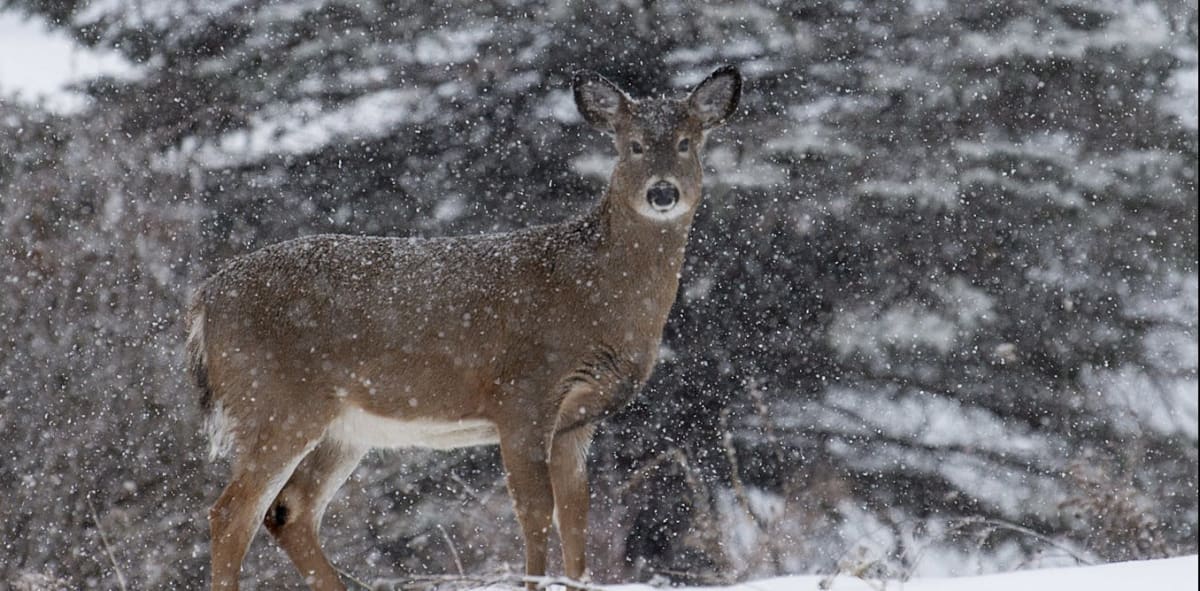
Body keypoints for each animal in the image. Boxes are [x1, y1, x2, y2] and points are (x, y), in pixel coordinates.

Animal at [186, 65, 742, 590]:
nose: (663, 192)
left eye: (687, 142)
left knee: (289, 511)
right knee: (231, 512)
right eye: (633, 145)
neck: (595, 293)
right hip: (274, 402)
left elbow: (577, 516)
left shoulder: (577, 419)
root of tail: (204, 300)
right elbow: (535, 512)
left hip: (343, 428)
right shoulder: (522, 395)